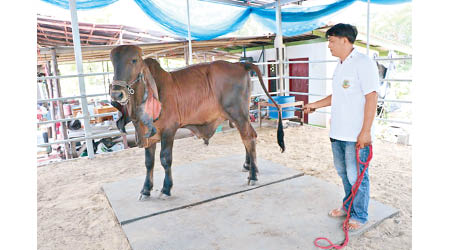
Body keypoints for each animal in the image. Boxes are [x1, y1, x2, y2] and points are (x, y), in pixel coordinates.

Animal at [109, 45, 284, 200]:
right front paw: (145, 190)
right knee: (247, 138)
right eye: (112, 62)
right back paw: (248, 166)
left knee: (249, 138)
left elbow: (165, 159)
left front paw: (166, 188)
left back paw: (253, 175)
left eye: (134, 60)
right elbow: (149, 163)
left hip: (239, 114)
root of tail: (239, 64)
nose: (117, 94)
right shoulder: (149, 136)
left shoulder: (169, 131)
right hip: (242, 115)